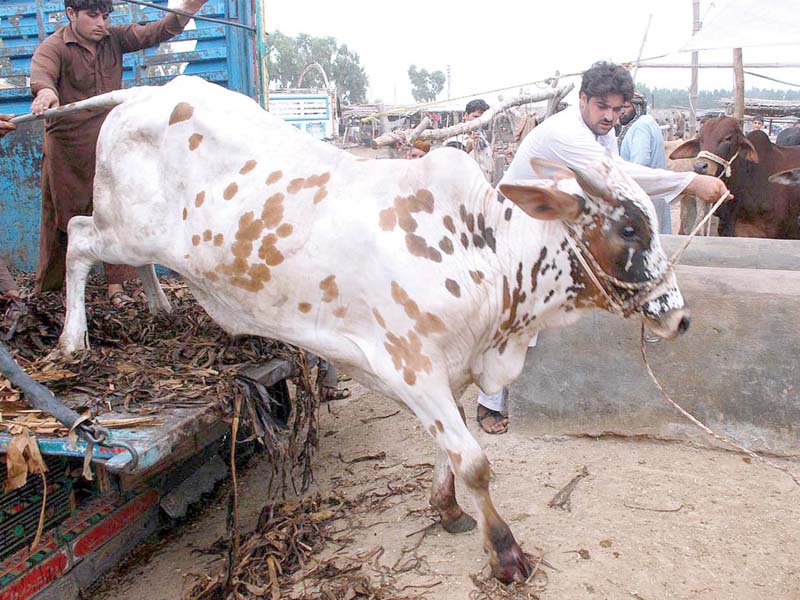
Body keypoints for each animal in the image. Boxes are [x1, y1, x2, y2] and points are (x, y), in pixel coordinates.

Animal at [59, 74, 692, 580]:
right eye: (630, 229)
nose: (680, 317)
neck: (483, 253)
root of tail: (152, 90)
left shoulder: (451, 371)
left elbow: (452, 446)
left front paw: (446, 509)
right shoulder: (413, 368)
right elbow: (474, 461)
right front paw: (506, 553)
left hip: (139, 236)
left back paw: (159, 308)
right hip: (125, 229)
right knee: (78, 237)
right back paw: (71, 341)